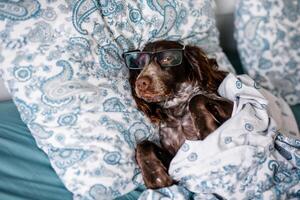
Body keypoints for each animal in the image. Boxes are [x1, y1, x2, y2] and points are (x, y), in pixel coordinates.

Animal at [123, 40, 233, 189]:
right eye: (140, 64)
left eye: (167, 58)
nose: (140, 83)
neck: (178, 112)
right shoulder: (175, 158)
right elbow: (143, 144)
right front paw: (154, 175)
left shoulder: (232, 107)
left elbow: (196, 98)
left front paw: (207, 130)